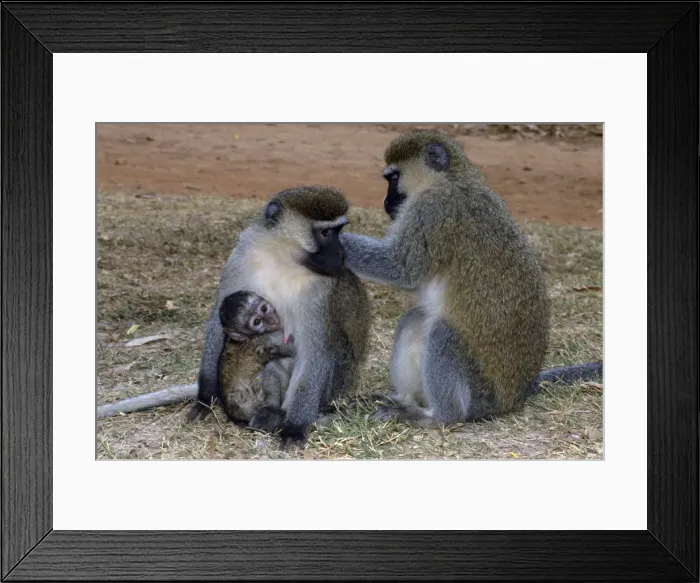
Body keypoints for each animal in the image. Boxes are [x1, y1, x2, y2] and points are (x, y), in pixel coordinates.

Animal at [194, 185, 370, 445]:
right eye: (326, 232)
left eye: (339, 231)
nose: (341, 253)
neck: (285, 259)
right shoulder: (243, 254)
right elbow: (218, 323)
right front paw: (206, 397)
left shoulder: (321, 290)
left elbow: (316, 351)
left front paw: (294, 428)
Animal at [340, 130, 602, 428]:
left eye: (393, 178)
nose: (386, 202)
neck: (451, 179)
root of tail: (518, 394)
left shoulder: (433, 210)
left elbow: (400, 269)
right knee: (416, 319)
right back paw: (403, 400)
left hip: (480, 394)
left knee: (443, 332)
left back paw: (439, 416)